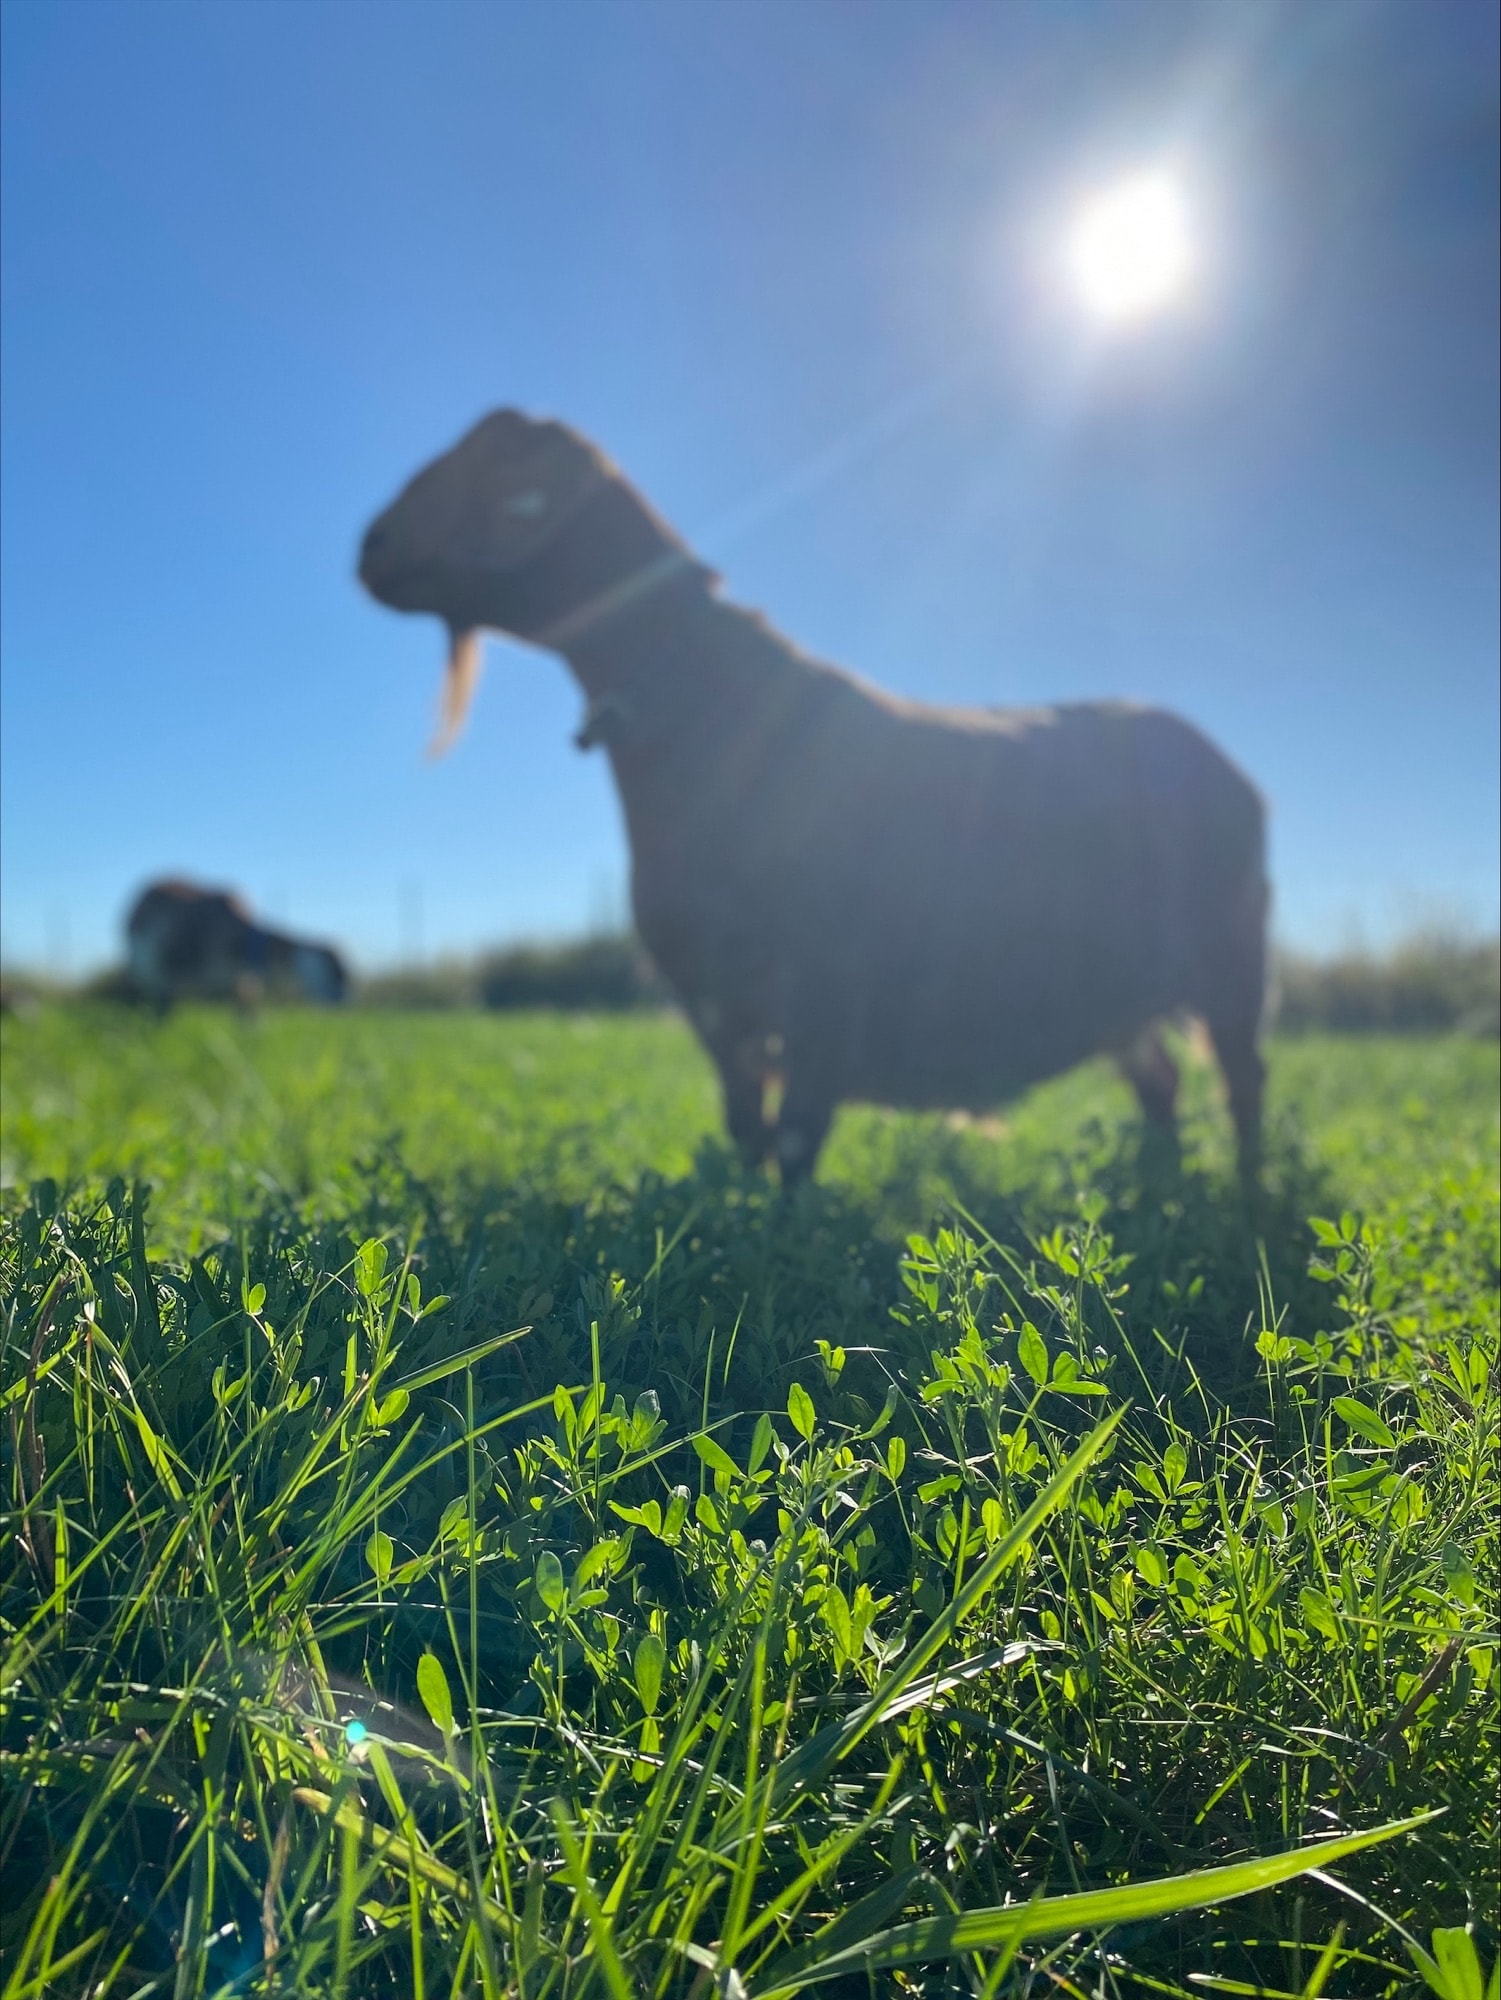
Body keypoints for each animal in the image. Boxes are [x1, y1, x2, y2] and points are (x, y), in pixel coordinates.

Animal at [125, 879, 348, 1012]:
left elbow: (247, 1009)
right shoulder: (166, 969)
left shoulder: (242, 979)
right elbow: (165, 1005)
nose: (344, 999)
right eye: (336, 973)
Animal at [359, 409, 1267, 1181]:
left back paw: (1243, 1209)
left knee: (1242, 1085)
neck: (701, 714)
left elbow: (796, 1139)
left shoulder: (826, 989)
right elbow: (746, 1131)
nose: (368, 543)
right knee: (1160, 1081)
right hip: (1128, 999)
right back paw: (1159, 1189)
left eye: (489, 461)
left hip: (1231, 959)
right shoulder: (714, 1003)